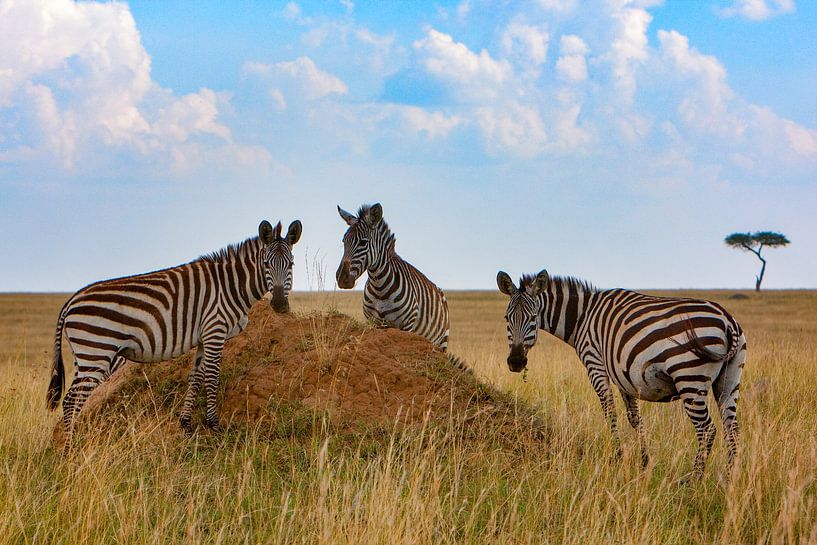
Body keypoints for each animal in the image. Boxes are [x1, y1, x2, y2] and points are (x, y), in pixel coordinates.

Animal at [47, 220, 302, 445]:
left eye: (291, 265)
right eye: (266, 264)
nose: (280, 305)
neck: (230, 286)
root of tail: (71, 301)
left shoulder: (204, 337)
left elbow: (196, 378)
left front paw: (186, 425)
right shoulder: (215, 331)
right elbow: (212, 378)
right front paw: (215, 426)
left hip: (85, 356)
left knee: (75, 401)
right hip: (96, 352)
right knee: (70, 401)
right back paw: (70, 452)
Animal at [335, 203, 450, 351]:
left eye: (363, 243)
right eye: (344, 241)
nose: (341, 279)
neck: (379, 287)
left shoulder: (407, 326)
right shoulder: (374, 323)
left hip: (442, 341)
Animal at [497, 269, 746, 480]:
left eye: (533, 318)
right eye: (507, 319)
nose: (516, 362)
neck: (581, 318)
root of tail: (727, 320)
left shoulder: (595, 363)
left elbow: (610, 412)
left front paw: (617, 456)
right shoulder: (625, 376)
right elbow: (634, 418)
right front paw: (644, 461)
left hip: (689, 378)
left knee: (707, 429)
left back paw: (694, 480)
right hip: (729, 380)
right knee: (732, 429)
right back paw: (730, 479)